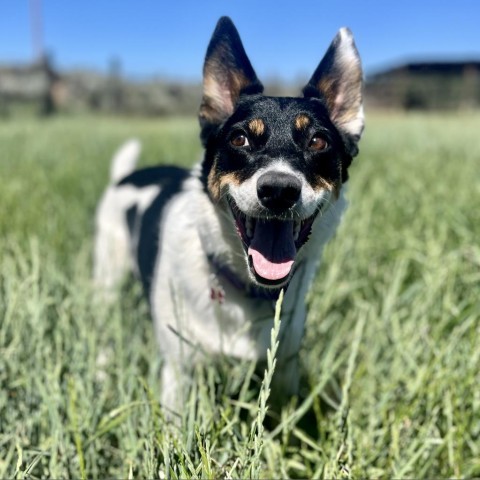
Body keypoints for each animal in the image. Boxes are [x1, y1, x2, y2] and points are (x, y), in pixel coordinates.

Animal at [93, 17, 364, 416]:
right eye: (239, 139)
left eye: (318, 142)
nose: (279, 190)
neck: (246, 288)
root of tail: (128, 175)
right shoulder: (179, 374)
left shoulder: (284, 367)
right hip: (108, 275)